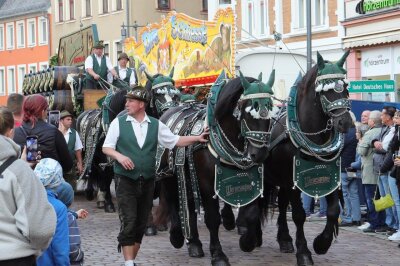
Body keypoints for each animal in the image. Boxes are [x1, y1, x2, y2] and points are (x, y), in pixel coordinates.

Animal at [156, 69, 276, 264]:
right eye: (248, 110)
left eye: (271, 111)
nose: (259, 154)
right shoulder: (207, 186)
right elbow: (212, 219)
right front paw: (218, 254)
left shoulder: (249, 181)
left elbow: (251, 213)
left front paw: (247, 241)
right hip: (169, 174)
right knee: (173, 200)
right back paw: (177, 236)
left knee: (188, 206)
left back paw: (194, 244)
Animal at [264, 51, 352, 264]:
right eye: (325, 90)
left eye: (345, 88)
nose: (345, 123)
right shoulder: (292, 182)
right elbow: (298, 214)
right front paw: (303, 252)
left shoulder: (330, 176)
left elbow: (333, 210)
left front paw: (321, 243)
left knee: (281, 204)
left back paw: (285, 240)